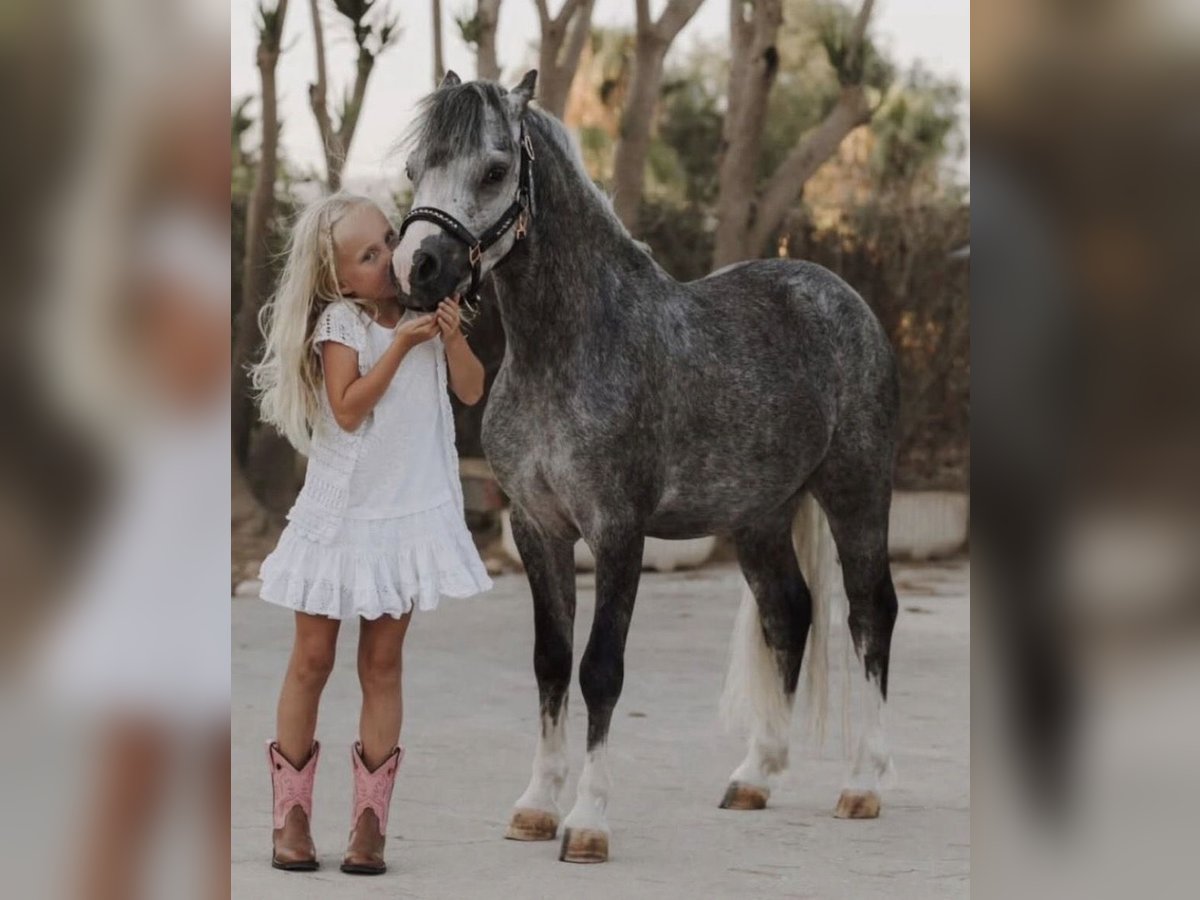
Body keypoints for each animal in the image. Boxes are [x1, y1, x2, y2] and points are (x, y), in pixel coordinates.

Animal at [393, 69, 900, 864]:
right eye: (417, 168)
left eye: (496, 170)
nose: (417, 268)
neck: (565, 351)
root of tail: (842, 298)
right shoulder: (538, 529)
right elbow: (549, 662)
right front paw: (536, 806)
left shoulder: (617, 532)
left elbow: (601, 669)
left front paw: (588, 822)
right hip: (760, 518)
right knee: (789, 613)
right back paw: (755, 776)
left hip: (857, 491)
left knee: (870, 612)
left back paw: (863, 783)